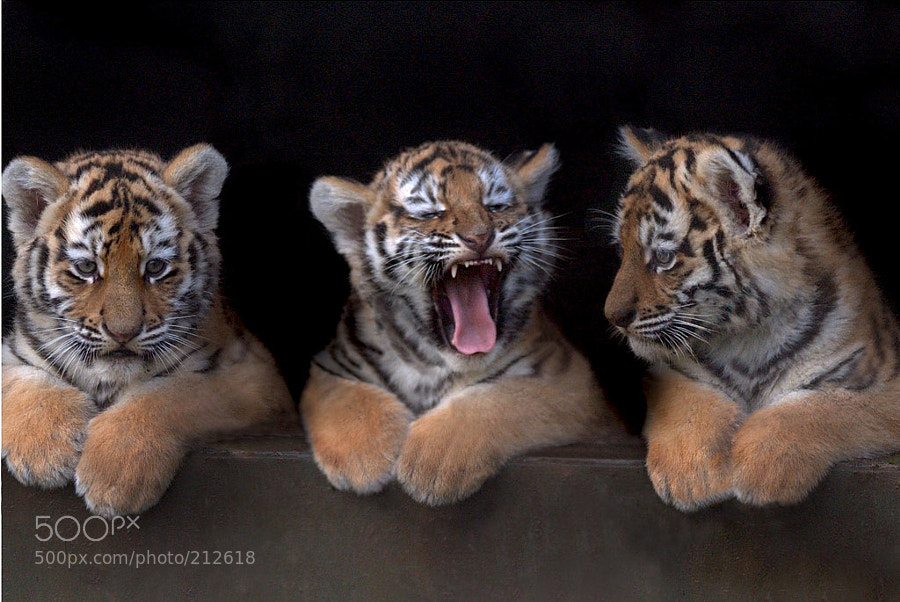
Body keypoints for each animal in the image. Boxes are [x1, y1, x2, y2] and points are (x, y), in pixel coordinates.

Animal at [1, 144, 296, 517]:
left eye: (155, 267)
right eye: (86, 267)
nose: (123, 333)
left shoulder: (255, 376)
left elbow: (173, 393)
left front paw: (114, 475)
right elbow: (23, 380)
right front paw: (44, 449)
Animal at [301, 140, 613, 505]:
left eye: (495, 206)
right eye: (429, 213)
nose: (479, 237)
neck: (430, 366)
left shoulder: (568, 377)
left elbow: (504, 398)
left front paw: (433, 462)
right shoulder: (329, 365)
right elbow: (346, 398)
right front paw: (362, 458)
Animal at [604, 124, 900, 511]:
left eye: (664, 257)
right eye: (622, 249)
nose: (613, 316)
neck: (747, 338)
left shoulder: (883, 384)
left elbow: (824, 407)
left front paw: (761, 464)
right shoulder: (668, 371)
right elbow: (686, 404)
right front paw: (691, 474)